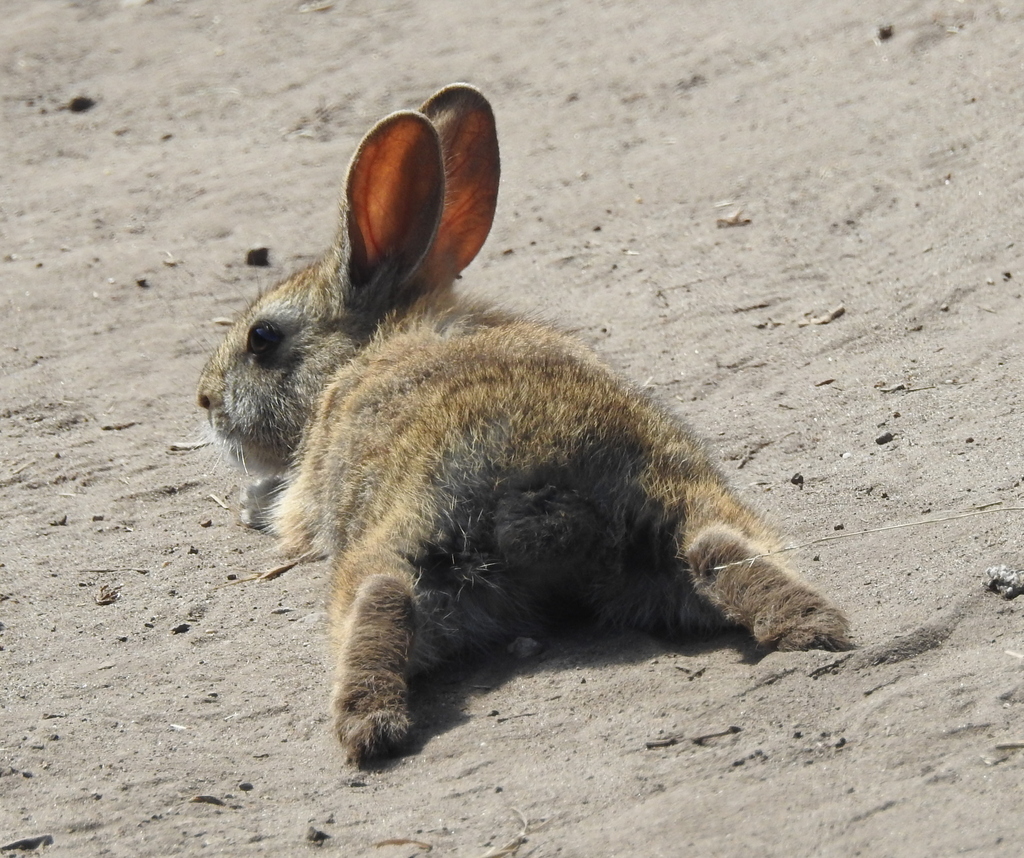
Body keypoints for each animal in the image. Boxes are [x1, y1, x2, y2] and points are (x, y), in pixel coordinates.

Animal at [197, 83, 851, 766]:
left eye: (262, 338)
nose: (205, 399)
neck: (362, 350)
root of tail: (547, 498)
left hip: (401, 544)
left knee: (379, 599)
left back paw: (367, 728)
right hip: (680, 510)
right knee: (716, 549)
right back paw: (812, 628)